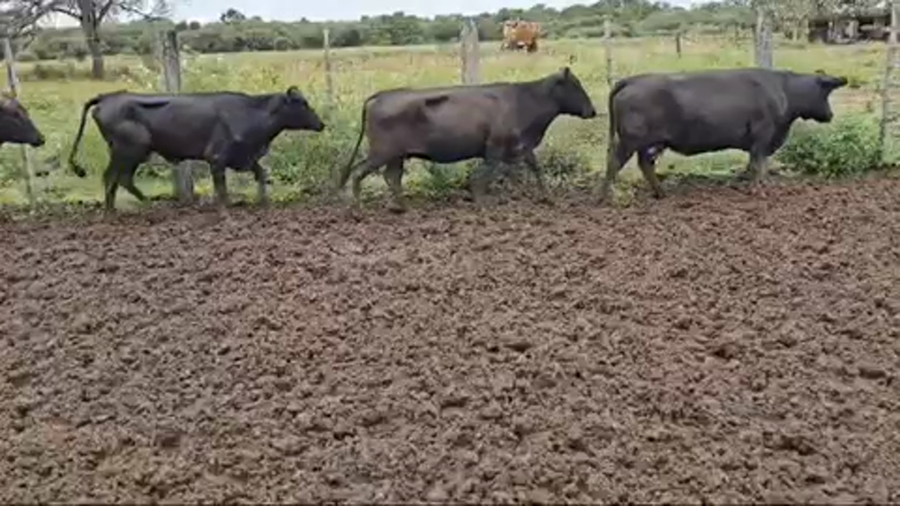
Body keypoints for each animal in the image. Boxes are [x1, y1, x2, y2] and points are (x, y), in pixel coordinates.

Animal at [68, 86, 325, 211]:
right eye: (302, 104)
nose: (321, 124)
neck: (250, 113)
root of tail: (107, 97)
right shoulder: (217, 158)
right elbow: (221, 189)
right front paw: (225, 210)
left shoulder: (243, 157)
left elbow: (261, 173)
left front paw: (264, 202)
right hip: (130, 150)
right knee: (114, 177)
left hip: (126, 153)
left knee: (117, 179)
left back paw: (118, 209)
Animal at [337, 67, 597, 213]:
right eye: (576, 86)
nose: (592, 110)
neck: (524, 101)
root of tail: (381, 95)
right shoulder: (494, 148)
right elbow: (484, 175)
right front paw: (481, 203)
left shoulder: (521, 147)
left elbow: (534, 168)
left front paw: (548, 198)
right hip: (381, 151)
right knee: (359, 172)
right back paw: (358, 210)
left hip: (396, 155)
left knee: (392, 177)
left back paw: (405, 208)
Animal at [599, 68, 848, 203]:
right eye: (825, 92)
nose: (830, 115)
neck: (784, 90)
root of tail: (633, 79)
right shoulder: (762, 136)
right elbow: (758, 165)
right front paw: (759, 190)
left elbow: (755, 165)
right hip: (630, 140)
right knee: (614, 163)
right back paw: (605, 197)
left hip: (650, 142)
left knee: (644, 164)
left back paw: (661, 193)